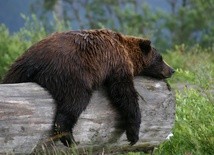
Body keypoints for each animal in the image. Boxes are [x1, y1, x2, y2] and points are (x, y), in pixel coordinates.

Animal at [2, 28, 175, 146]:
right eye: (161, 58)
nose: (172, 69)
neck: (126, 51)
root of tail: (34, 62)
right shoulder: (117, 63)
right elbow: (124, 93)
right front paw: (133, 134)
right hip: (71, 73)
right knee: (75, 101)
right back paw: (69, 138)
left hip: (16, 71)